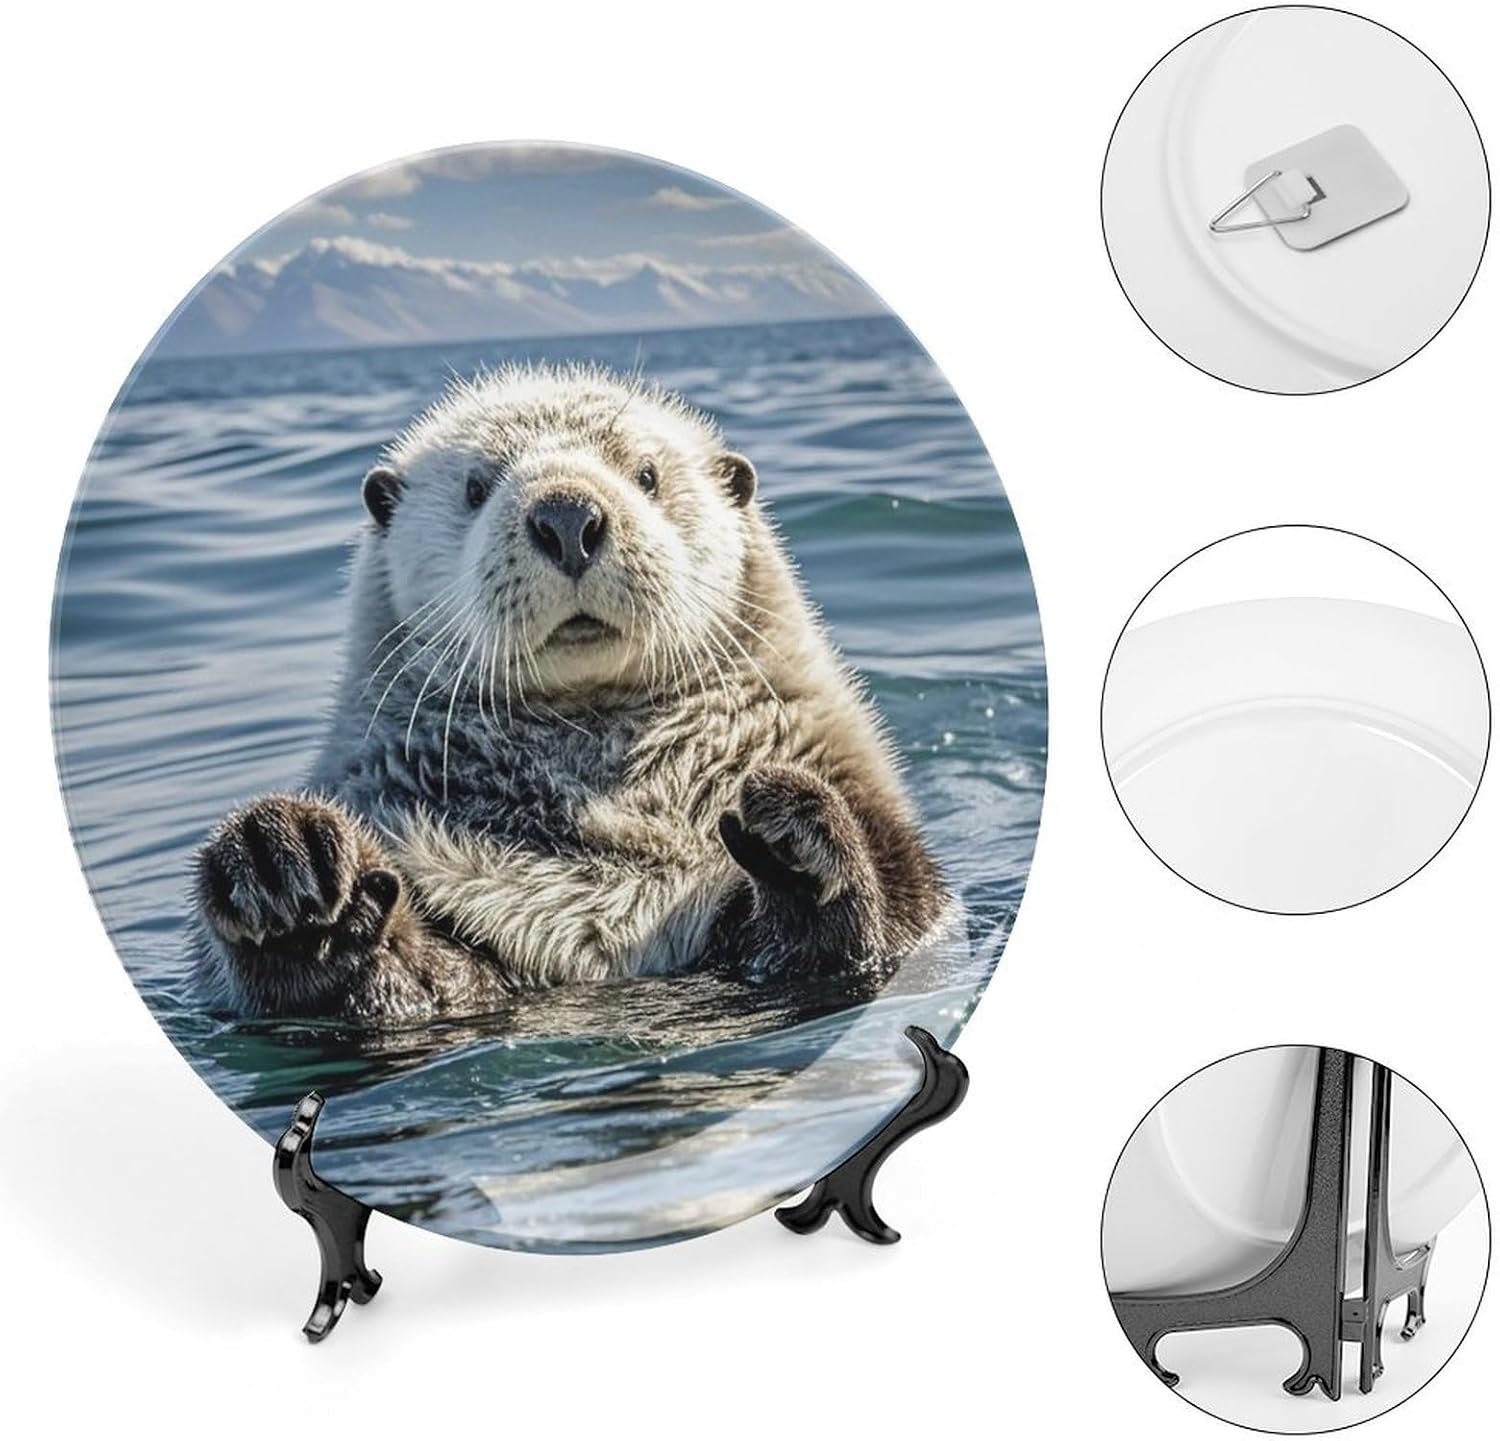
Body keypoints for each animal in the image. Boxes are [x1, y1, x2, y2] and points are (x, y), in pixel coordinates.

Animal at [193, 364, 950, 1023]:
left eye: (646, 474)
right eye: (475, 487)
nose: (565, 515)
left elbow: (887, 913)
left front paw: (796, 826)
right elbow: (402, 984)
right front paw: (281, 867)